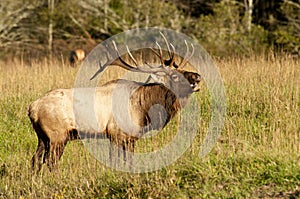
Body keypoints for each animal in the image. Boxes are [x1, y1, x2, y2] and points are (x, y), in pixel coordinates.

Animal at [28, 33, 202, 172]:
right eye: (175, 76)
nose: (198, 76)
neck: (144, 108)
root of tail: (32, 109)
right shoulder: (118, 133)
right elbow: (122, 161)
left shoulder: (126, 137)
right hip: (57, 135)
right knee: (51, 161)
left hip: (42, 136)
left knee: (35, 159)